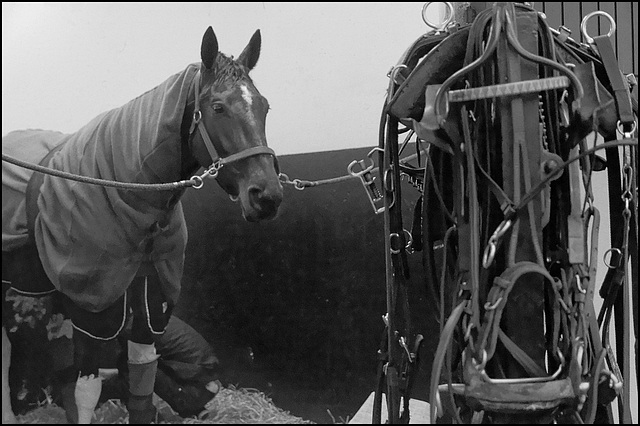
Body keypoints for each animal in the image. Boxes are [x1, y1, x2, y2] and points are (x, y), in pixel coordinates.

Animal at [1, 26, 282, 422]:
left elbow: (142, 386)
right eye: (218, 107)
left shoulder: (150, 309)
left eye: (264, 106)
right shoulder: (94, 313)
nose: (267, 196)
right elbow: (86, 391)